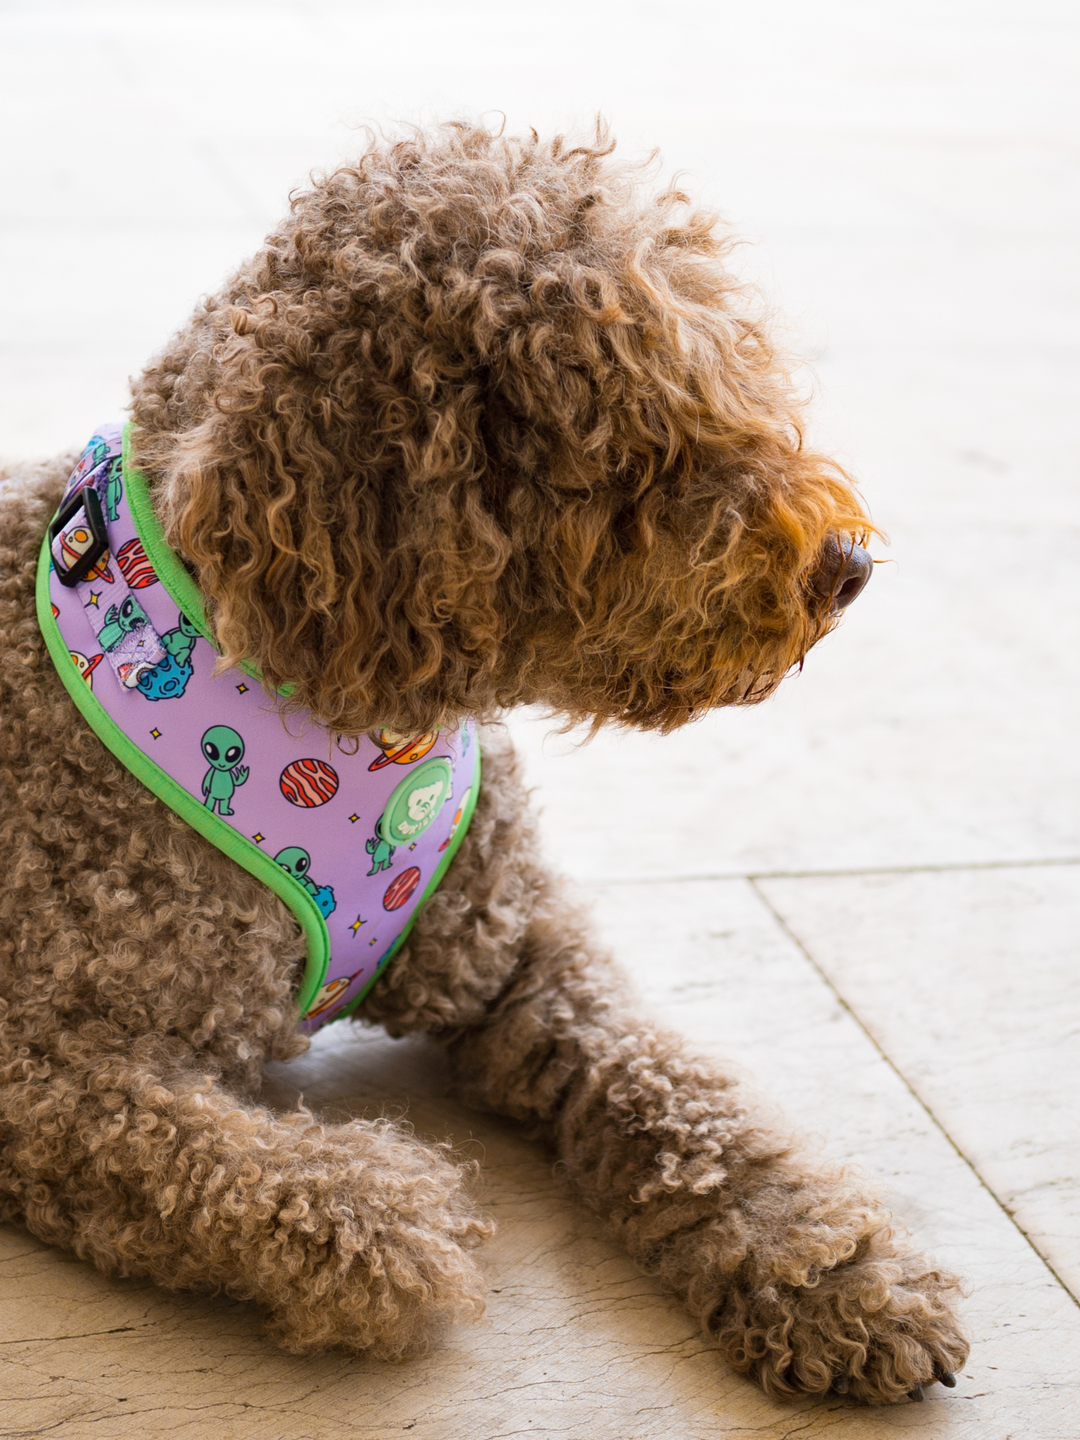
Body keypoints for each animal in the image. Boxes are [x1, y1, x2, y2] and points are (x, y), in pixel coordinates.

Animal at [0, 123, 967, 1405]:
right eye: (630, 447)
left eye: (725, 372)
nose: (847, 564)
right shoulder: (43, 1065)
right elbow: (186, 1151)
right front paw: (375, 1211)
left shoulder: (517, 950)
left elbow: (679, 1095)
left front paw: (827, 1266)